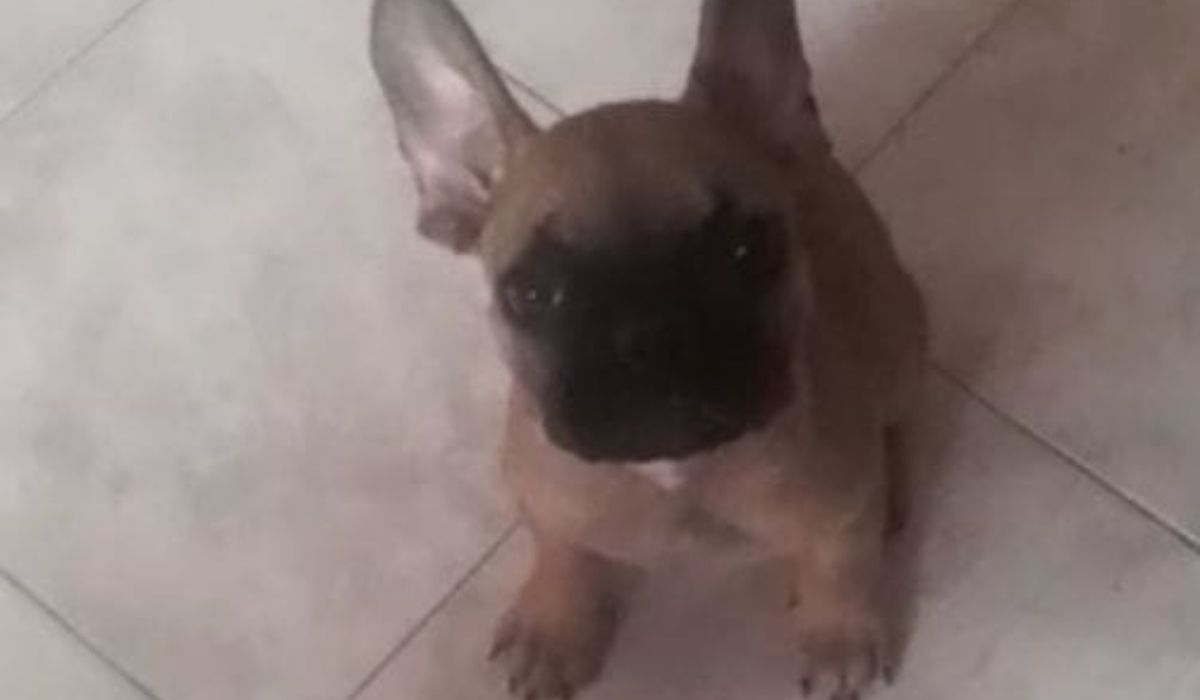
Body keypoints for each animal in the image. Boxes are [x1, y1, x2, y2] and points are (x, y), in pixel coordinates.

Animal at [370, 0, 927, 698]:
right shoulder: (543, 499)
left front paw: (837, 635)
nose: (651, 332)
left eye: (746, 249)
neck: (674, 477)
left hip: (898, 338)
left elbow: (840, 566)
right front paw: (555, 624)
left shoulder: (839, 512)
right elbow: (561, 551)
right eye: (533, 292)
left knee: (897, 422)